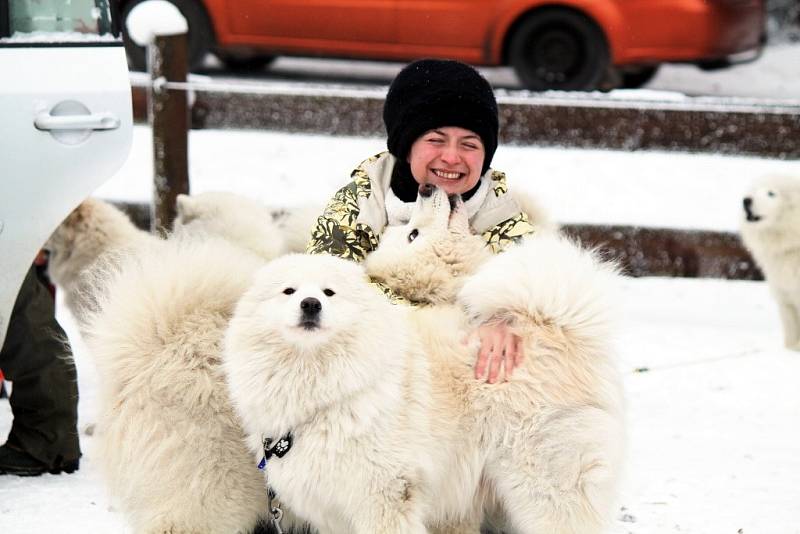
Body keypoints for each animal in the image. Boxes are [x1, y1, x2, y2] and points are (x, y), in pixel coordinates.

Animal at [223, 186, 624, 532]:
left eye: (329, 292)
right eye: (288, 291)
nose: (428, 188)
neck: (320, 385)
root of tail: (554, 326)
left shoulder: (386, 495)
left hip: (545, 487)